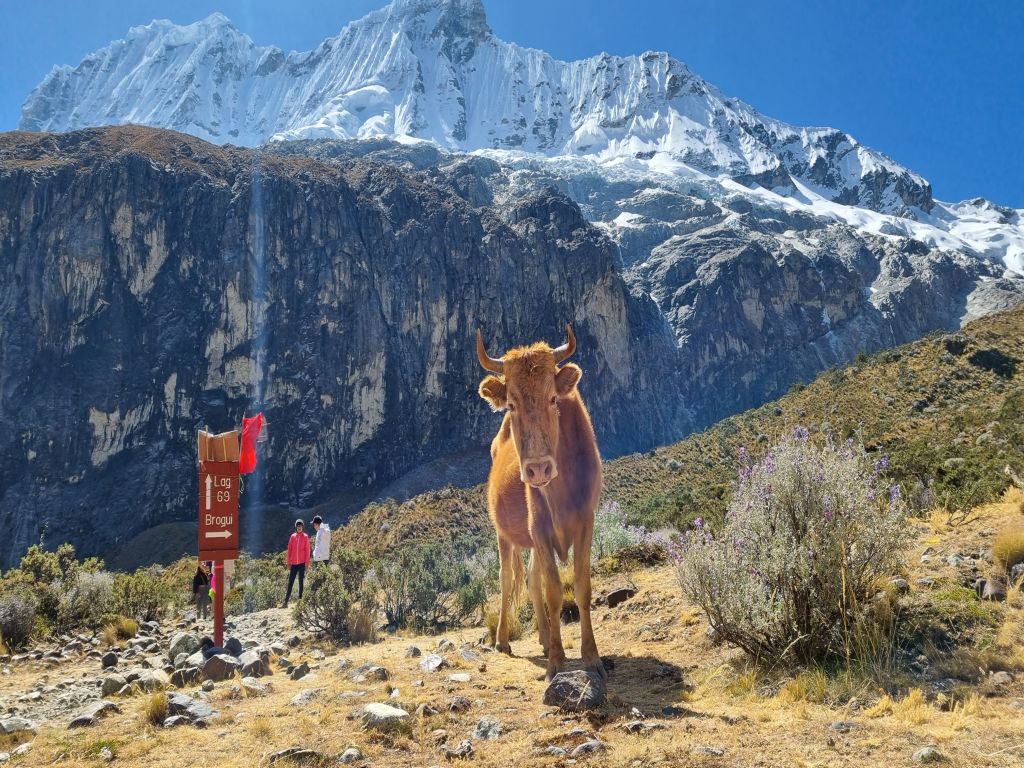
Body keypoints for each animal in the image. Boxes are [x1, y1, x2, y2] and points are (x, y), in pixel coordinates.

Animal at [475, 323, 602, 679]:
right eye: (512, 404)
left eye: (553, 398)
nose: (538, 469)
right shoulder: (540, 526)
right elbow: (554, 590)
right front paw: (557, 662)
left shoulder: (586, 520)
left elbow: (581, 586)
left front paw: (591, 657)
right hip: (504, 534)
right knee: (507, 580)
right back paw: (503, 640)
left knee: (531, 581)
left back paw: (545, 639)